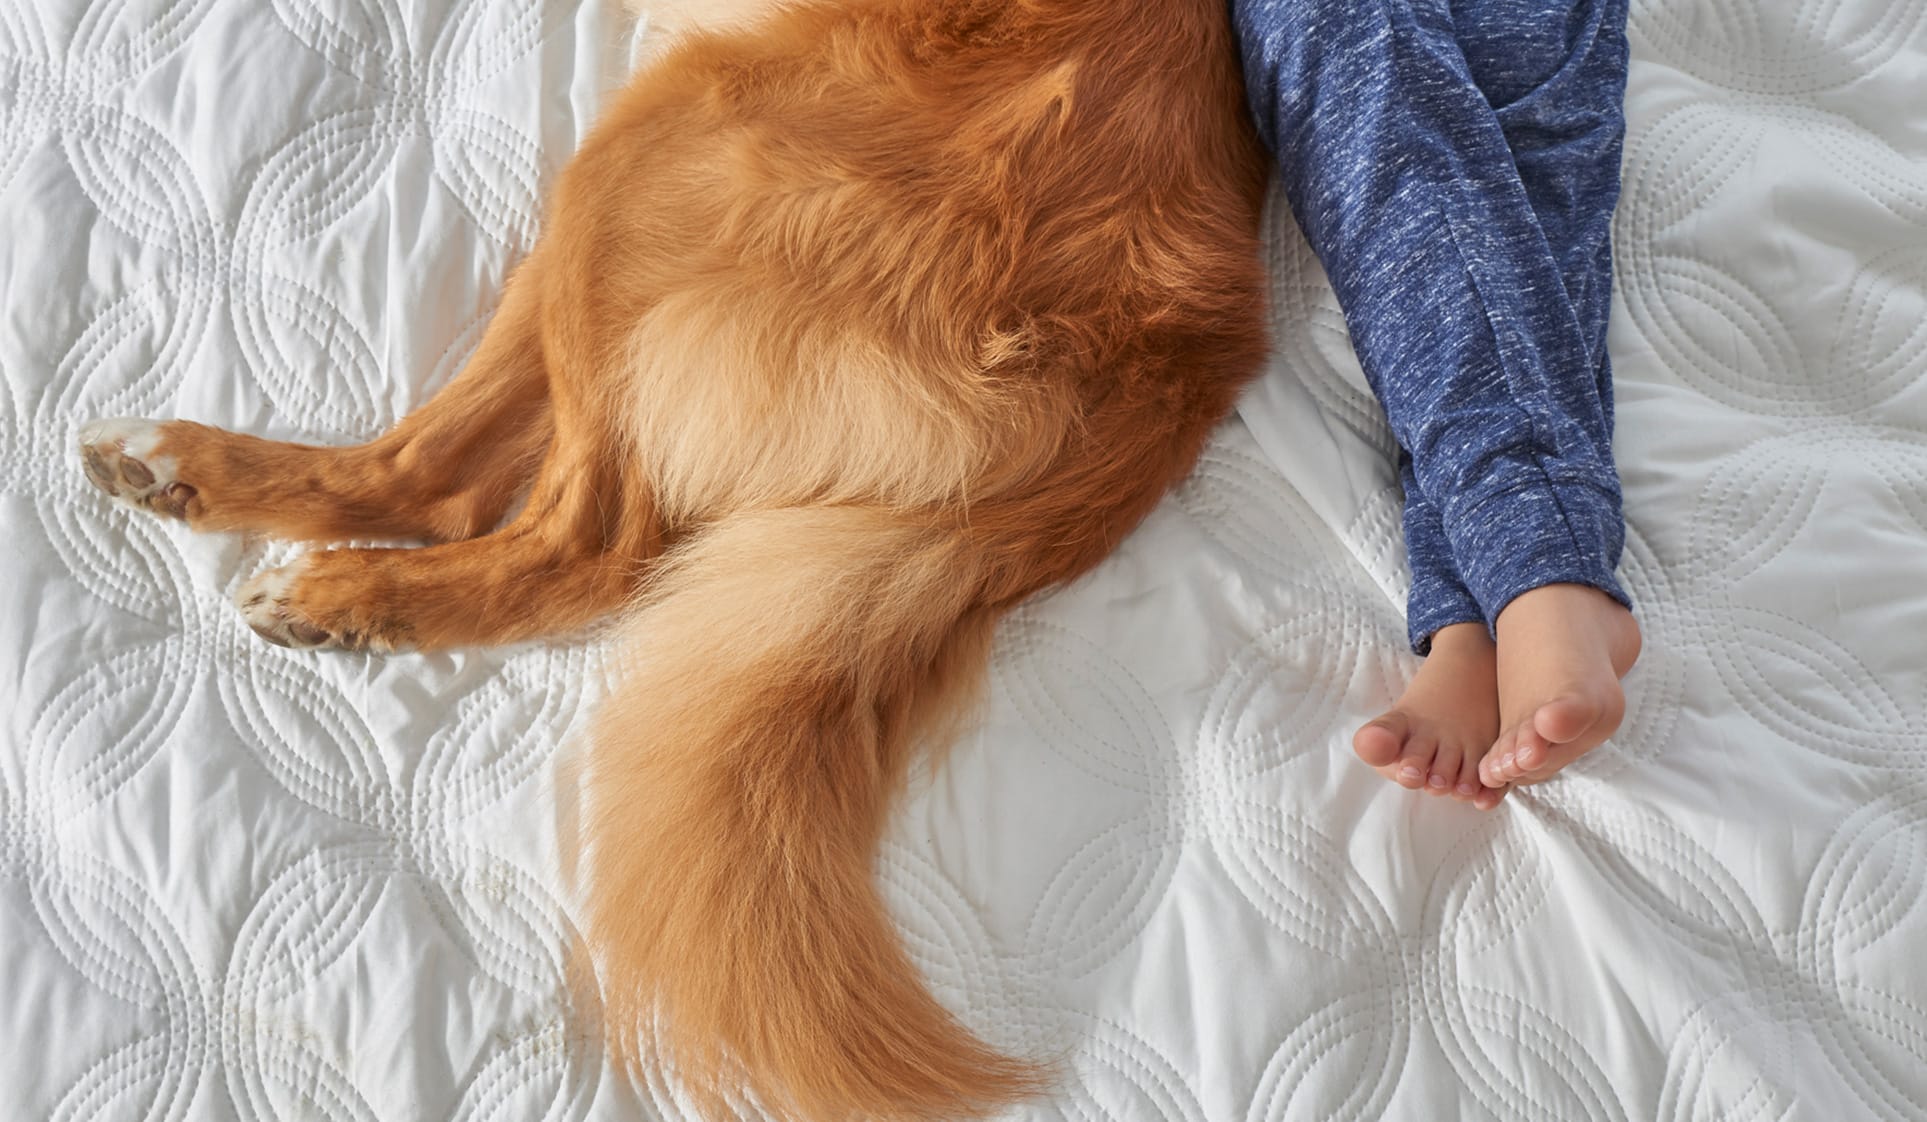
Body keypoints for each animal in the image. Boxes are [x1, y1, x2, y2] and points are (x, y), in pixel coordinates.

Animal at [79, 4, 1279, 1118]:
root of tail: (1167, 368)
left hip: (652, 140)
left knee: (548, 529)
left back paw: (329, 579)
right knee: (455, 479)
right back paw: (191, 483)